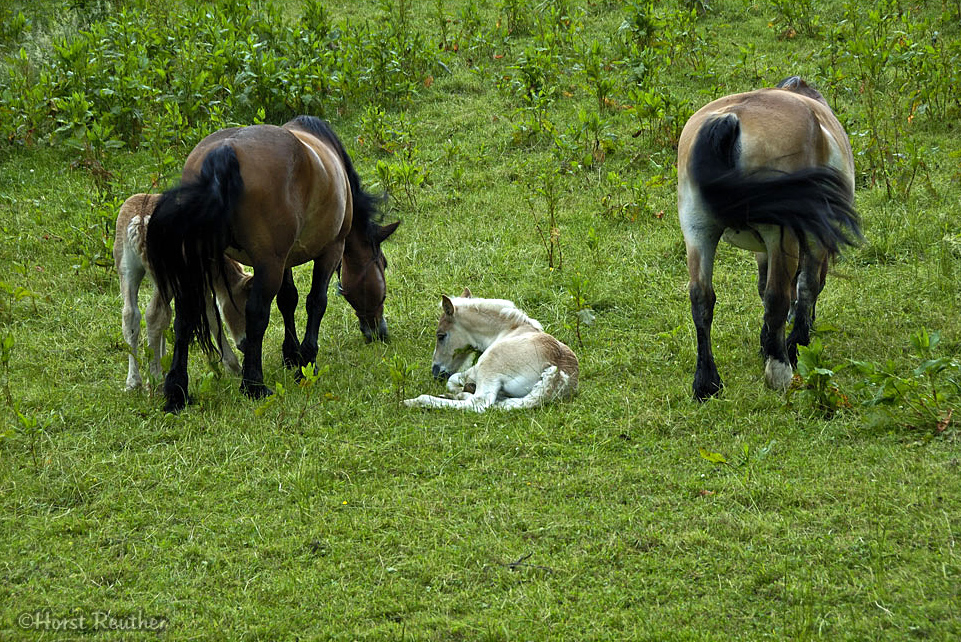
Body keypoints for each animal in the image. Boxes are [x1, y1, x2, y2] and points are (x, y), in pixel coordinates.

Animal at [113, 192, 251, 388]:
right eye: (245, 307)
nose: (245, 345)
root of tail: (139, 220)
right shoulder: (200, 280)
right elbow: (211, 315)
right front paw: (233, 366)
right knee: (154, 314)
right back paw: (155, 379)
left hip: (125, 266)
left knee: (131, 314)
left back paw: (133, 382)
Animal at [145, 115, 398, 412]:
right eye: (382, 264)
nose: (378, 331)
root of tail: (225, 150)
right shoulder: (330, 250)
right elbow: (316, 302)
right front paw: (306, 363)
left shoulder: (285, 259)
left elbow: (288, 299)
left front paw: (291, 354)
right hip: (268, 265)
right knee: (256, 314)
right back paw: (253, 384)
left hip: (201, 262)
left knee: (184, 317)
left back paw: (177, 391)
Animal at [404, 288, 576, 412]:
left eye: (441, 336)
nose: (436, 372)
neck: (509, 329)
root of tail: (557, 371)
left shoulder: (477, 368)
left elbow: (453, 380)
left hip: (490, 369)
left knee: (479, 403)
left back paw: (416, 401)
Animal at [676, 77, 864, 400]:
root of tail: (730, 120)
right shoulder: (809, 238)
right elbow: (805, 286)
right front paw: (796, 341)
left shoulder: (762, 248)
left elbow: (763, 288)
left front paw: (768, 342)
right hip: (781, 234)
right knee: (779, 297)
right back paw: (780, 373)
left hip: (697, 232)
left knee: (701, 299)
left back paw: (707, 383)